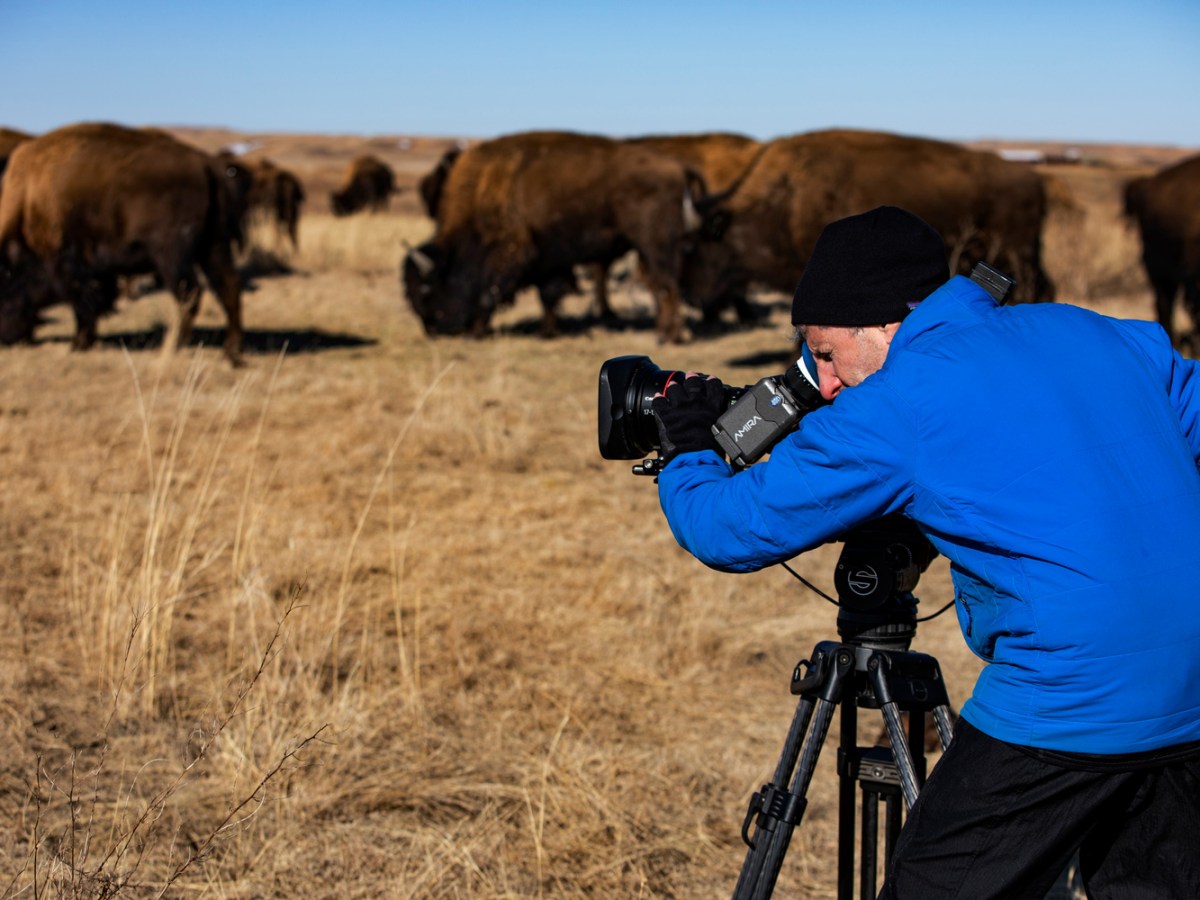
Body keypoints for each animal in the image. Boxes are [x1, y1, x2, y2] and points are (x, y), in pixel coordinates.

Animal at [0, 121, 246, 364]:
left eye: (5, 282)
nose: (8, 340)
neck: (28, 201)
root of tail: (206, 165)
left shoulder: (66, 265)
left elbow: (82, 304)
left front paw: (78, 344)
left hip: (172, 256)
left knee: (191, 294)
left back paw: (172, 348)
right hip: (214, 246)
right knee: (229, 287)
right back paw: (230, 352)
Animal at [403, 131, 720, 345]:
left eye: (427, 289)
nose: (432, 329)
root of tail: (678, 167)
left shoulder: (513, 253)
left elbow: (491, 293)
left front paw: (476, 332)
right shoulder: (547, 260)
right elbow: (547, 296)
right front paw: (547, 331)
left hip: (656, 246)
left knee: (668, 285)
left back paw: (670, 336)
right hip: (646, 250)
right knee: (660, 285)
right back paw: (663, 333)